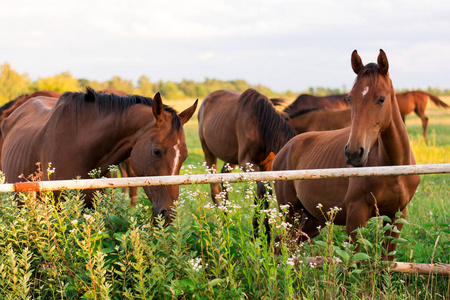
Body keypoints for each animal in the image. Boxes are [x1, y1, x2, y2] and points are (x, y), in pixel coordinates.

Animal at [270, 49, 422, 260]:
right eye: (350, 98)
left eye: (381, 98)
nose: (354, 152)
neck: (393, 168)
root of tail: (286, 149)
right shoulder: (356, 216)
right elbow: (353, 262)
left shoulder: (396, 217)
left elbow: (387, 262)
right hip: (291, 213)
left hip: (313, 219)